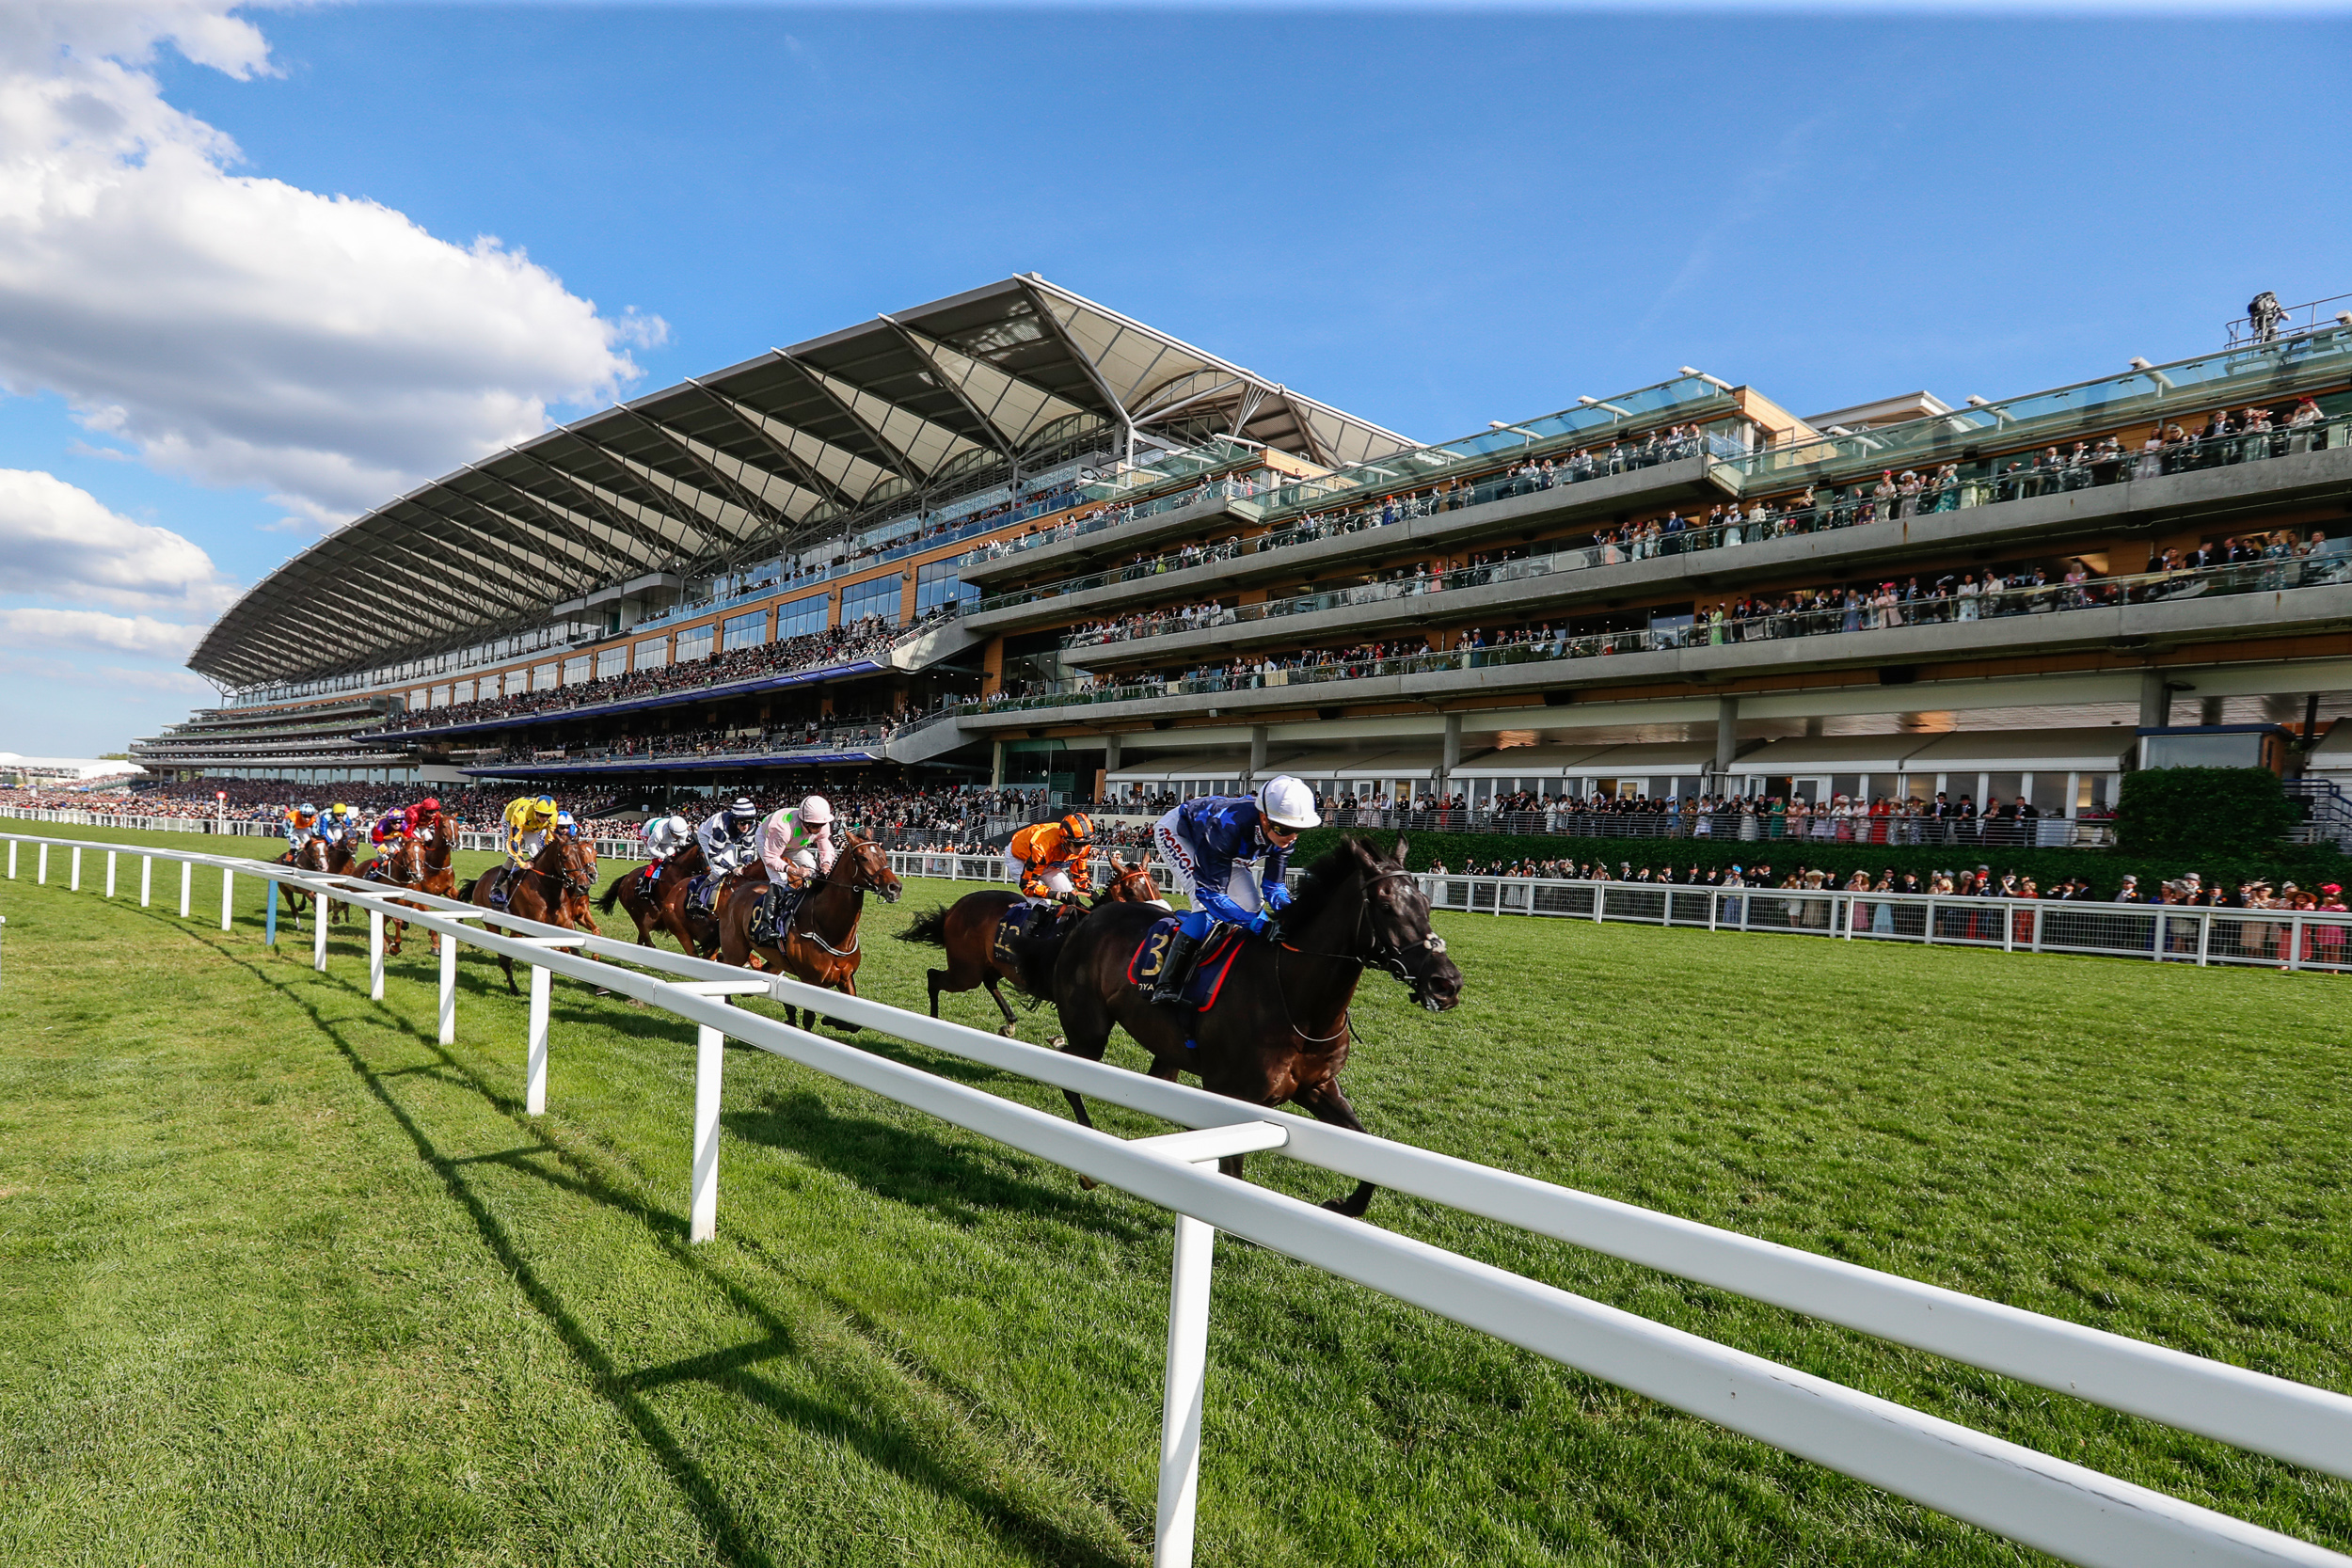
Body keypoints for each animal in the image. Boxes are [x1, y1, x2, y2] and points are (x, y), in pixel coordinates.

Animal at [452, 832, 593, 991]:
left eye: (581, 855)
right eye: (564, 856)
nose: (583, 886)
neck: (547, 888)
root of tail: (480, 880)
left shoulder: (566, 923)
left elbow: (577, 953)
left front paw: (598, 987)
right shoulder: (534, 926)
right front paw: (549, 985)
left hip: (516, 928)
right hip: (492, 923)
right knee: (503, 957)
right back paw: (514, 989)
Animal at [894, 850, 1162, 1034]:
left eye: (1156, 884)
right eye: (1130, 891)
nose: (1160, 918)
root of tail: (954, 909)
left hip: (992, 962)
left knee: (989, 982)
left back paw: (1010, 1023)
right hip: (965, 971)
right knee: (934, 977)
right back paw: (933, 1020)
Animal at [1044, 841, 1449, 1222]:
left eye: (1426, 904)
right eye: (1386, 906)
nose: (1447, 982)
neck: (1297, 1002)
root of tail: (1089, 920)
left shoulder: (1317, 1086)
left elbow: (1369, 1150)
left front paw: (1344, 1205)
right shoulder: (1234, 1096)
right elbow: (1233, 1176)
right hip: (1090, 1030)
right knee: (1070, 1074)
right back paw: (1089, 1163)